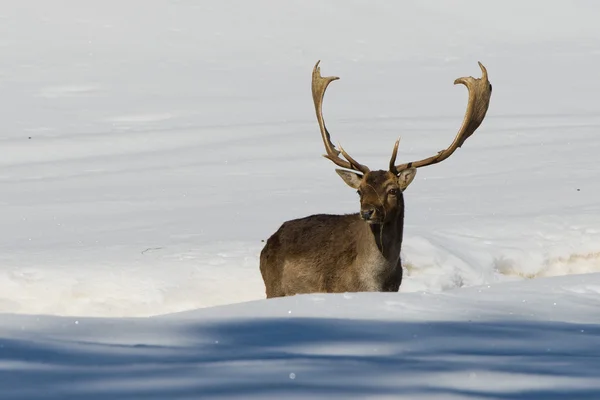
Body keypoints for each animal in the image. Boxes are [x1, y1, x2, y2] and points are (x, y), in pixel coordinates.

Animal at [258, 61, 492, 298]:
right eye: (359, 191)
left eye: (393, 190)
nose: (367, 212)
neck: (375, 283)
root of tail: (269, 242)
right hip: (274, 288)